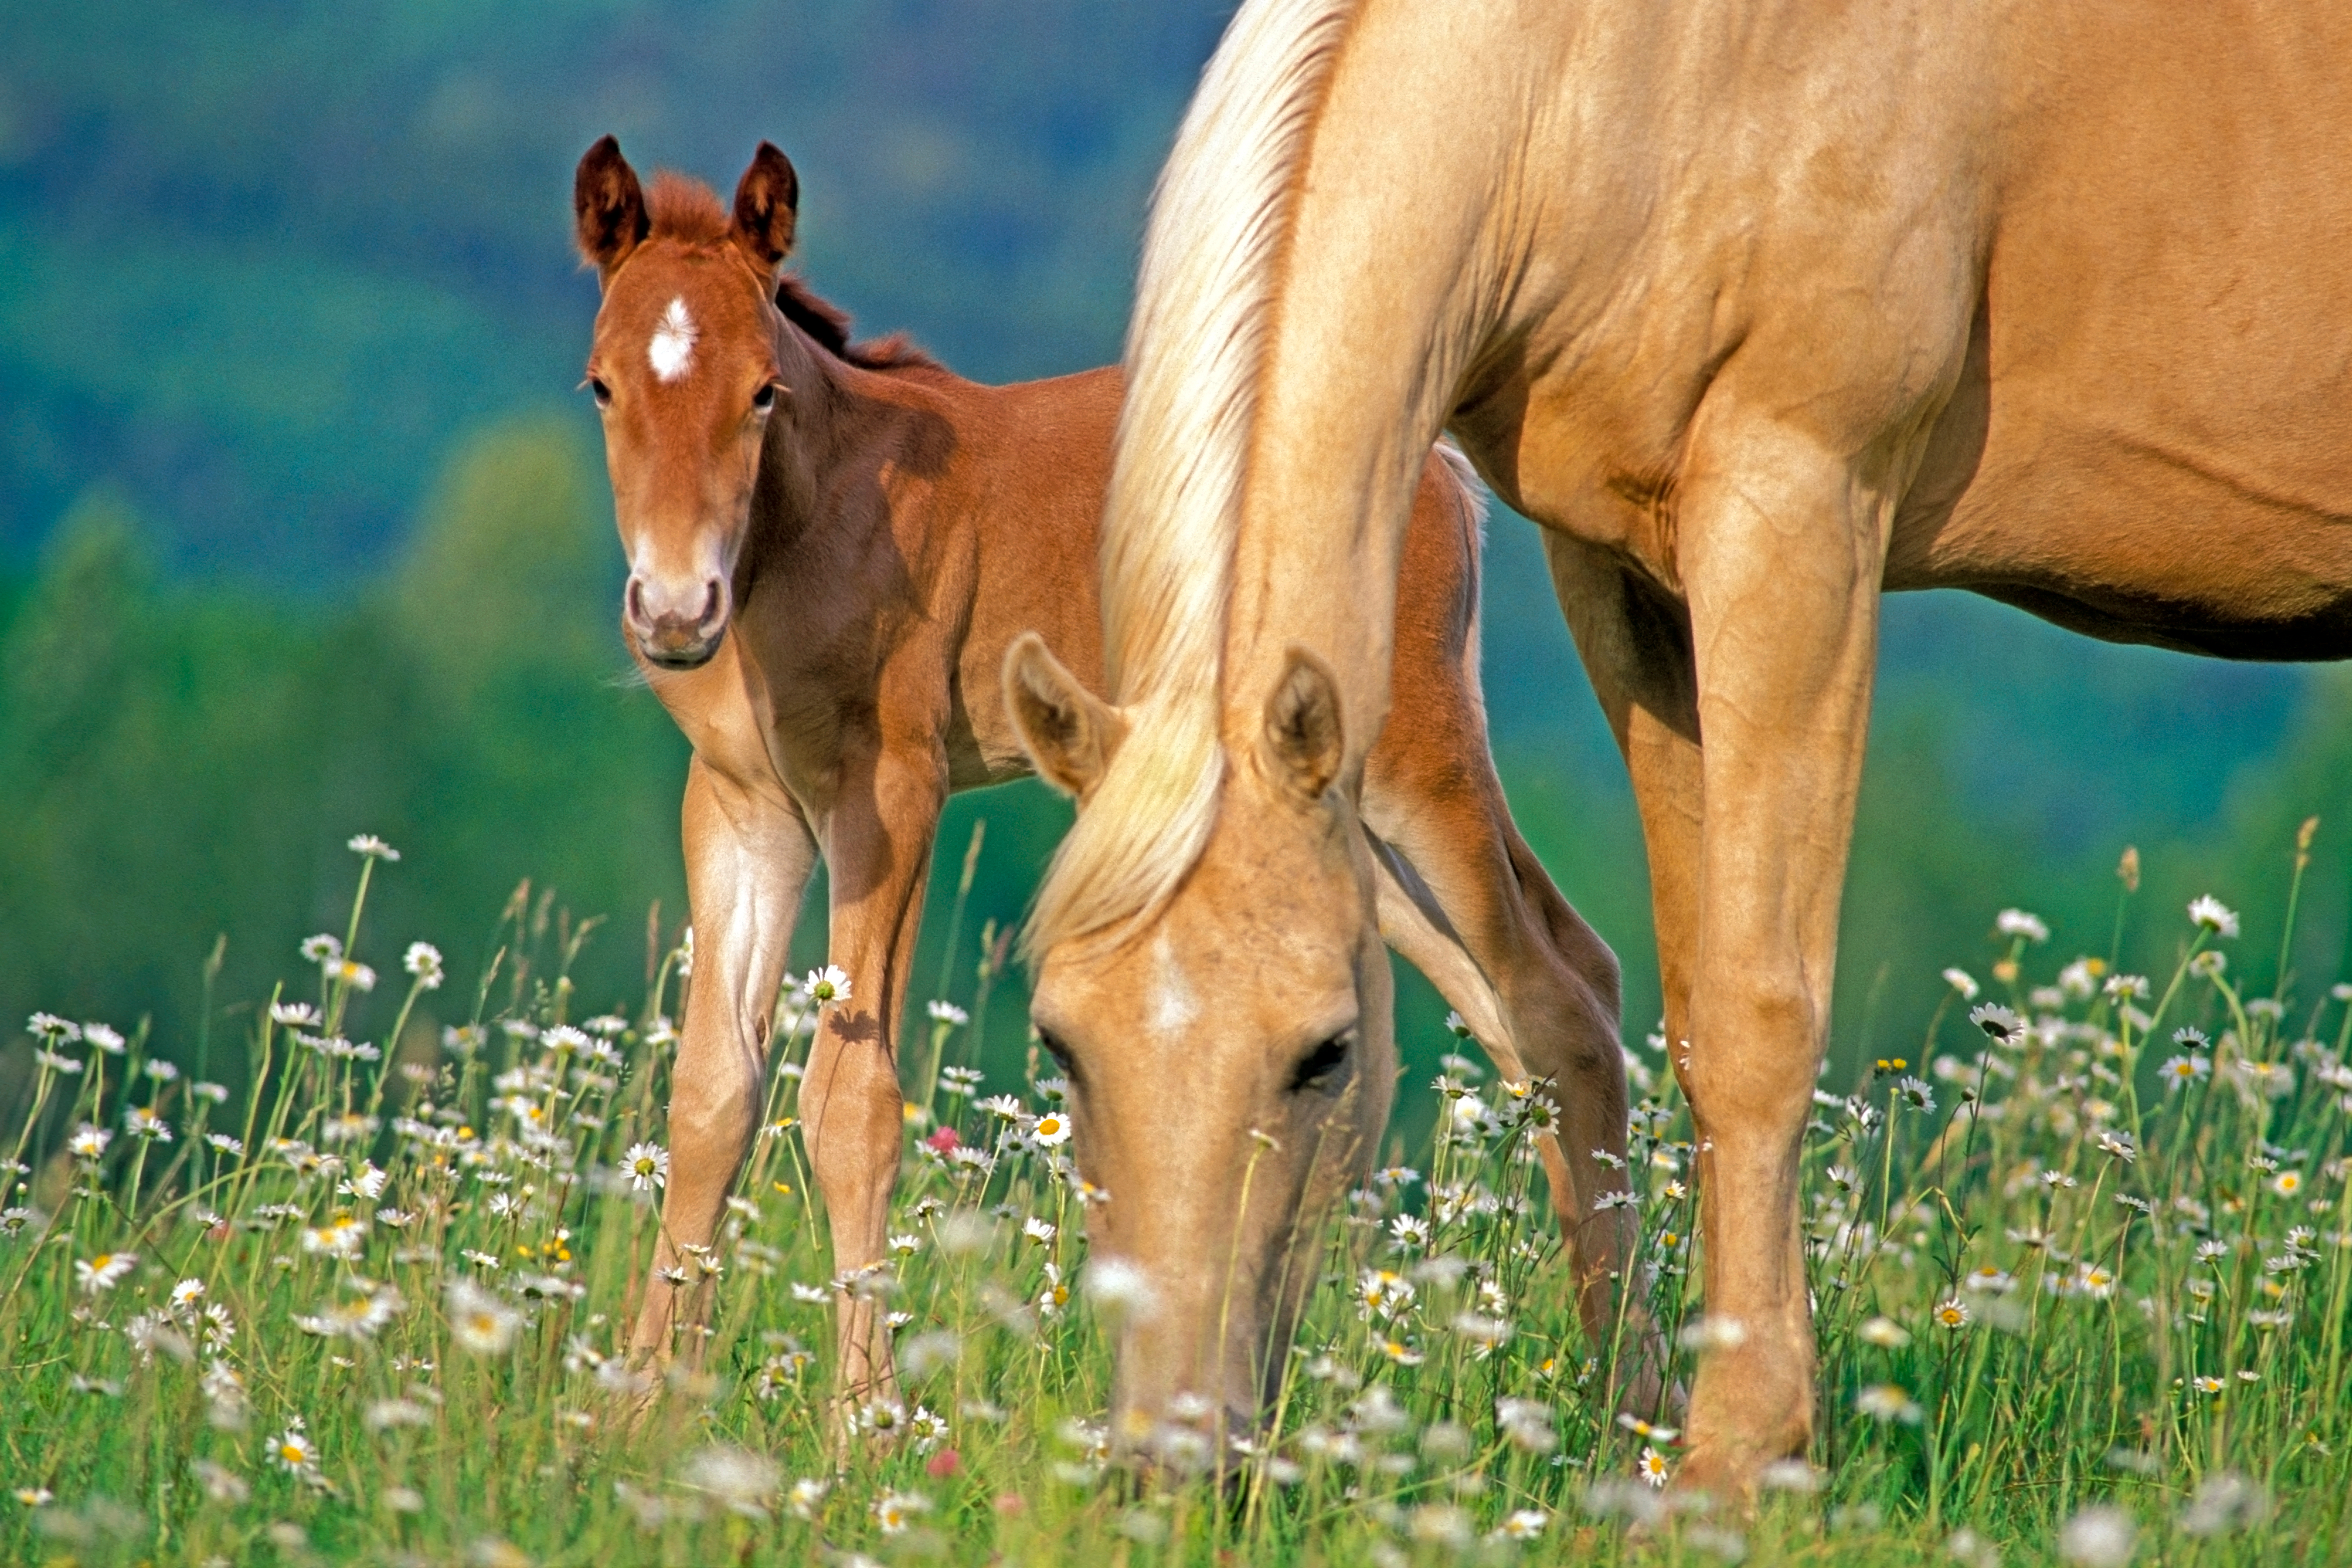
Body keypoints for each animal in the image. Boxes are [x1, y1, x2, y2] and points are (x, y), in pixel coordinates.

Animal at [568, 137, 1658, 1419]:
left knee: (1561, 996)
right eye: (602, 387)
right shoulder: (743, 805)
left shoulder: (890, 791)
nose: (673, 610)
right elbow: (709, 1097)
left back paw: (1629, 1400)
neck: (803, 527)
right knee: (1520, 1007)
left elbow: (852, 1102)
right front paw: (634, 1412)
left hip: (1413, 763)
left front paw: (866, 1423)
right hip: (1325, 814)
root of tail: (1437, 466)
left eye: (760, 393)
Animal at [1014, 0, 2352, 1498]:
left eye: (1328, 1051)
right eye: (1060, 1042)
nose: (1165, 1465)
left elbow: (1764, 1013)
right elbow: (1689, 1009)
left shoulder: (1794, 514)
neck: (1626, 66)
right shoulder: (1627, 578)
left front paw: (1736, 1456)